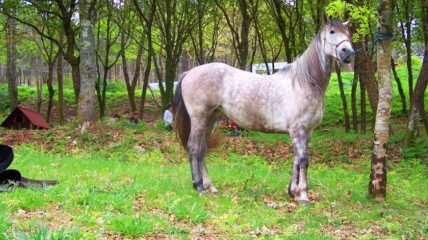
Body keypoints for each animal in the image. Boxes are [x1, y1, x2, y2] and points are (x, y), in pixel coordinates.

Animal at [171, 14, 354, 203]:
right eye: (332, 31)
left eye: (349, 33)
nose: (347, 52)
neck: (304, 83)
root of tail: (188, 73)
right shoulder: (298, 129)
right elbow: (303, 159)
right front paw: (303, 195)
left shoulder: (307, 131)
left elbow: (296, 159)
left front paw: (293, 191)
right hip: (199, 118)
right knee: (193, 148)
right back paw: (199, 186)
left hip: (210, 119)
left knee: (201, 151)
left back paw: (211, 187)